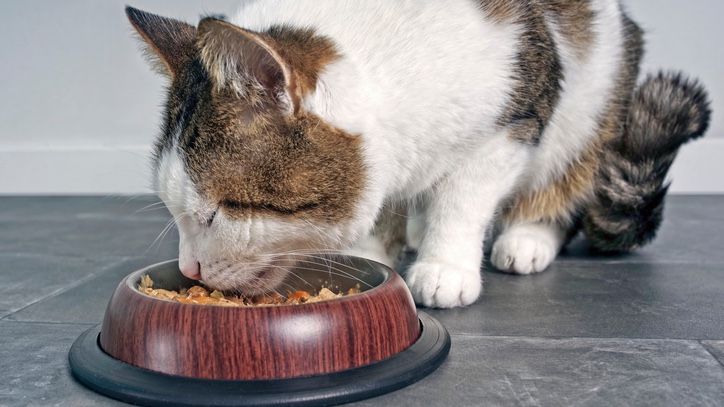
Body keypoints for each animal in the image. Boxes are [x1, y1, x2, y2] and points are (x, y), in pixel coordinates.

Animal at [127, 0, 708, 310]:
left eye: (217, 212)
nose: (191, 269)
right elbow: (386, 203)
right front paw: (372, 251)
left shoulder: (513, 121)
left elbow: (464, 199)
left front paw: (445, 265)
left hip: (594, 104)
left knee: (566, 176)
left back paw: (528, 237)